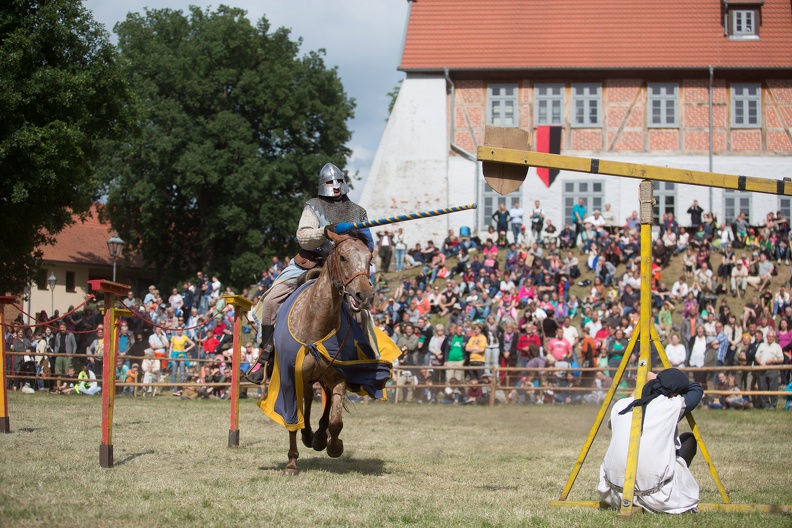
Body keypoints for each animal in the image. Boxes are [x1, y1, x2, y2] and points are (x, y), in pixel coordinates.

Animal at [268, 229, 376, 476]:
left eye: (369, 259)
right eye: (343, 257)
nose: (364, 296)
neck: (315, 323)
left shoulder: (339, 377)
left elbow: (336, 420)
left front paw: (333, 446)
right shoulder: (290, 379)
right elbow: (292, 419)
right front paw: (291, 462)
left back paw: (317, 437)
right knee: (307, 399)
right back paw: (309, 436)